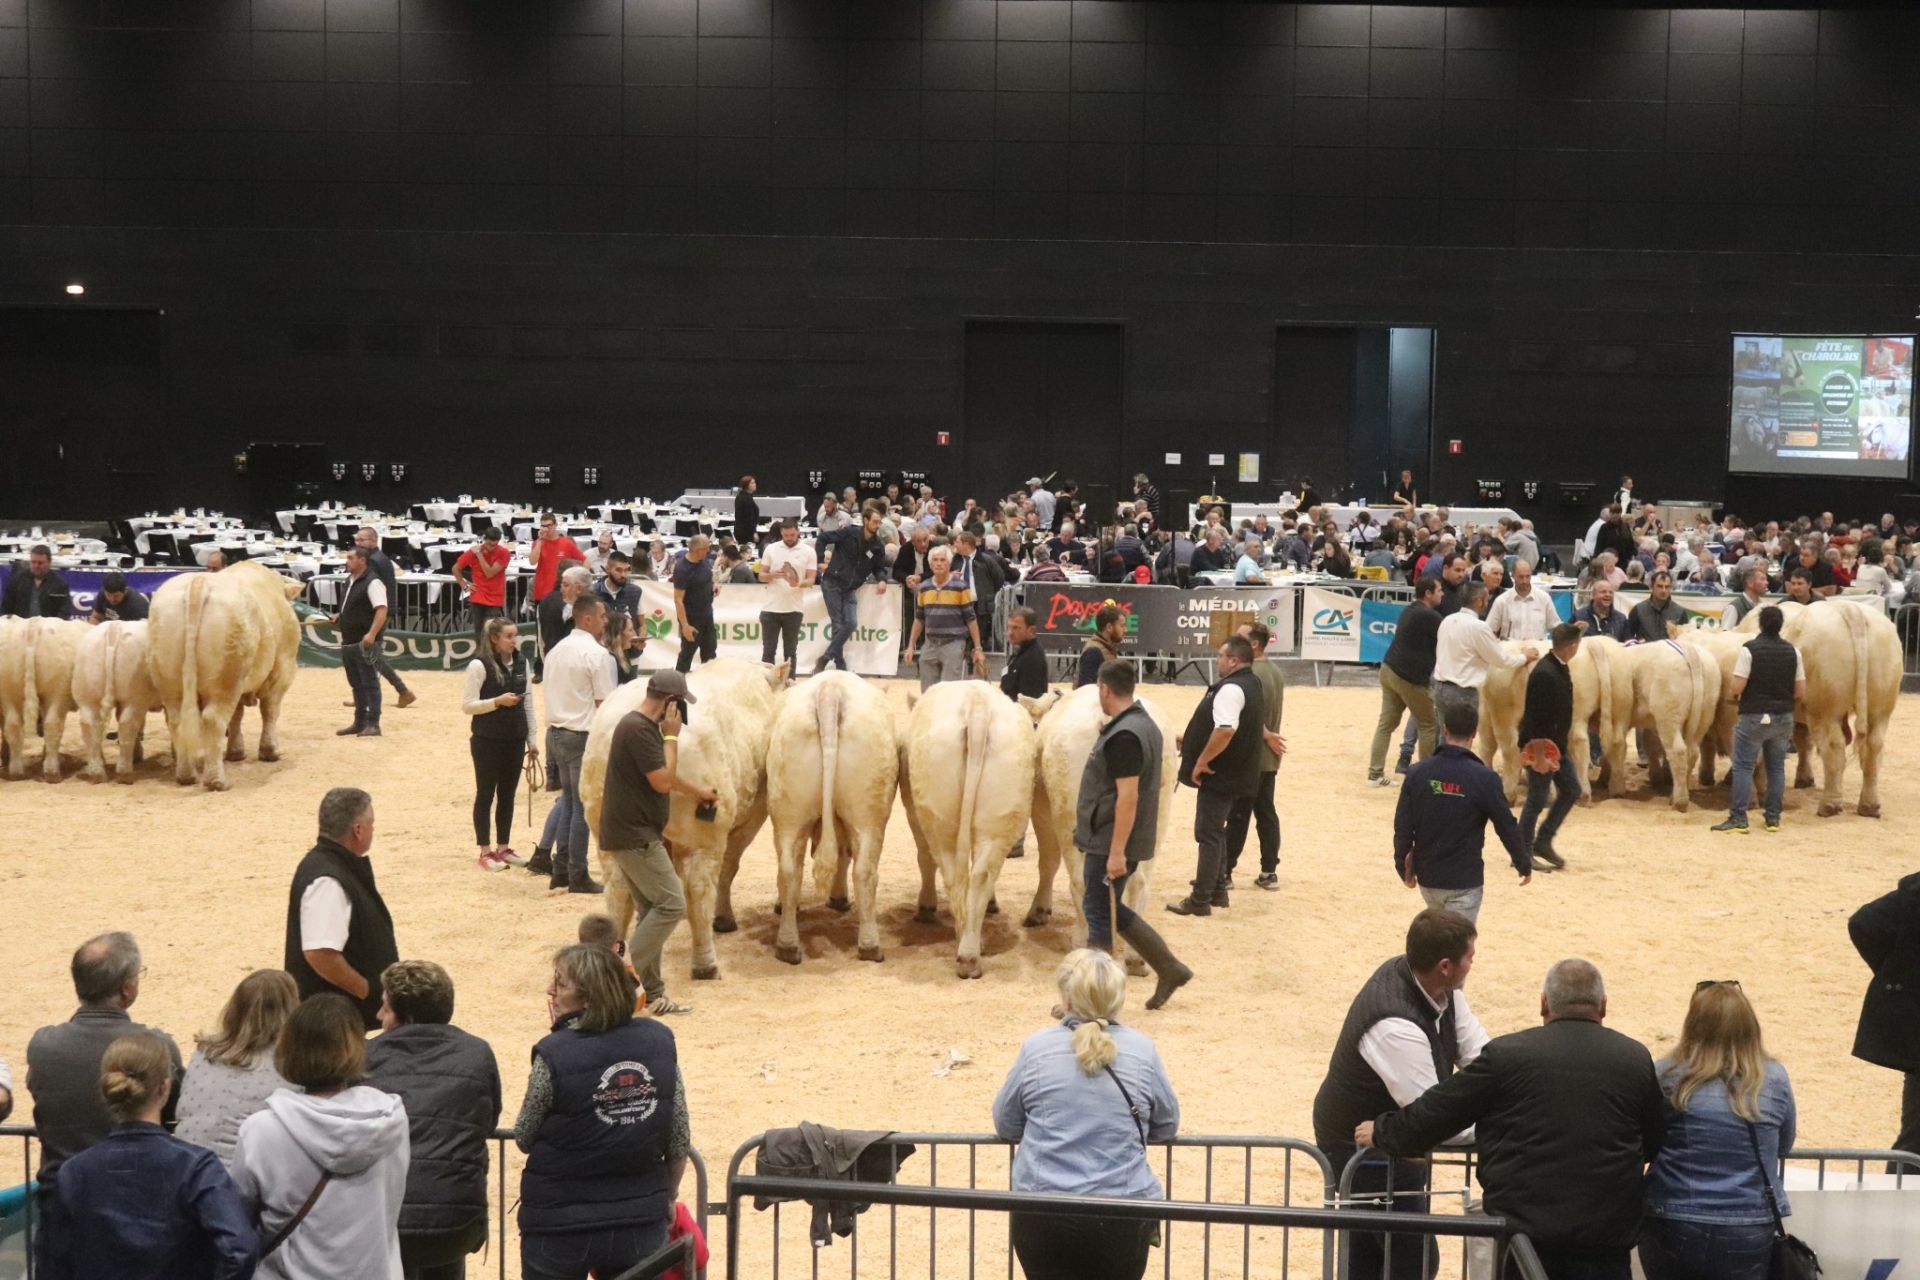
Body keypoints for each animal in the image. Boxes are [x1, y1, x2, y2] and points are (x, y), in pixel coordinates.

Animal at [0, 617, 88, 786]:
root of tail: (33, 626)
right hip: (56, 692)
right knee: (52, 725)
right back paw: (52, 772)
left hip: (8, 691)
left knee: (13, 727)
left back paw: (16, 771)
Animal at [71, 617, 159, 786]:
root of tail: (114, 627)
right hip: (134, 696)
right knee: (128, 725)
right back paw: (125, 774)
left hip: (87, 695)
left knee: (90, 726)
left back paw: (98, 772)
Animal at [147, 564, 303, 790]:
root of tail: (198, 582)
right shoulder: (283, 669)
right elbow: (270, 710)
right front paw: (270, 752)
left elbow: (237, 715)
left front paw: (236, 752)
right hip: (226, 680)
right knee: (214, 719)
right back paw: (217, 781)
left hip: (171, 679)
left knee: (176, 720)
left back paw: (187, 775)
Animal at [760, 671, 894, 959]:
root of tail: (830, 690)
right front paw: (839, 898)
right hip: (868, 816)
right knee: (864, 871)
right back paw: (871, 946)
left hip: (789, 812)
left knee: (789, 869)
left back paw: (787, 945)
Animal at [898, 679, 1036, 982]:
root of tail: (977, 705)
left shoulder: (914, 813)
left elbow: (924, 858)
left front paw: (926, 907)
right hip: (1000, 815)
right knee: (981, 875)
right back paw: (972, 952)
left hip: (937, 815)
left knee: (953, 873)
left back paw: (964, 950)